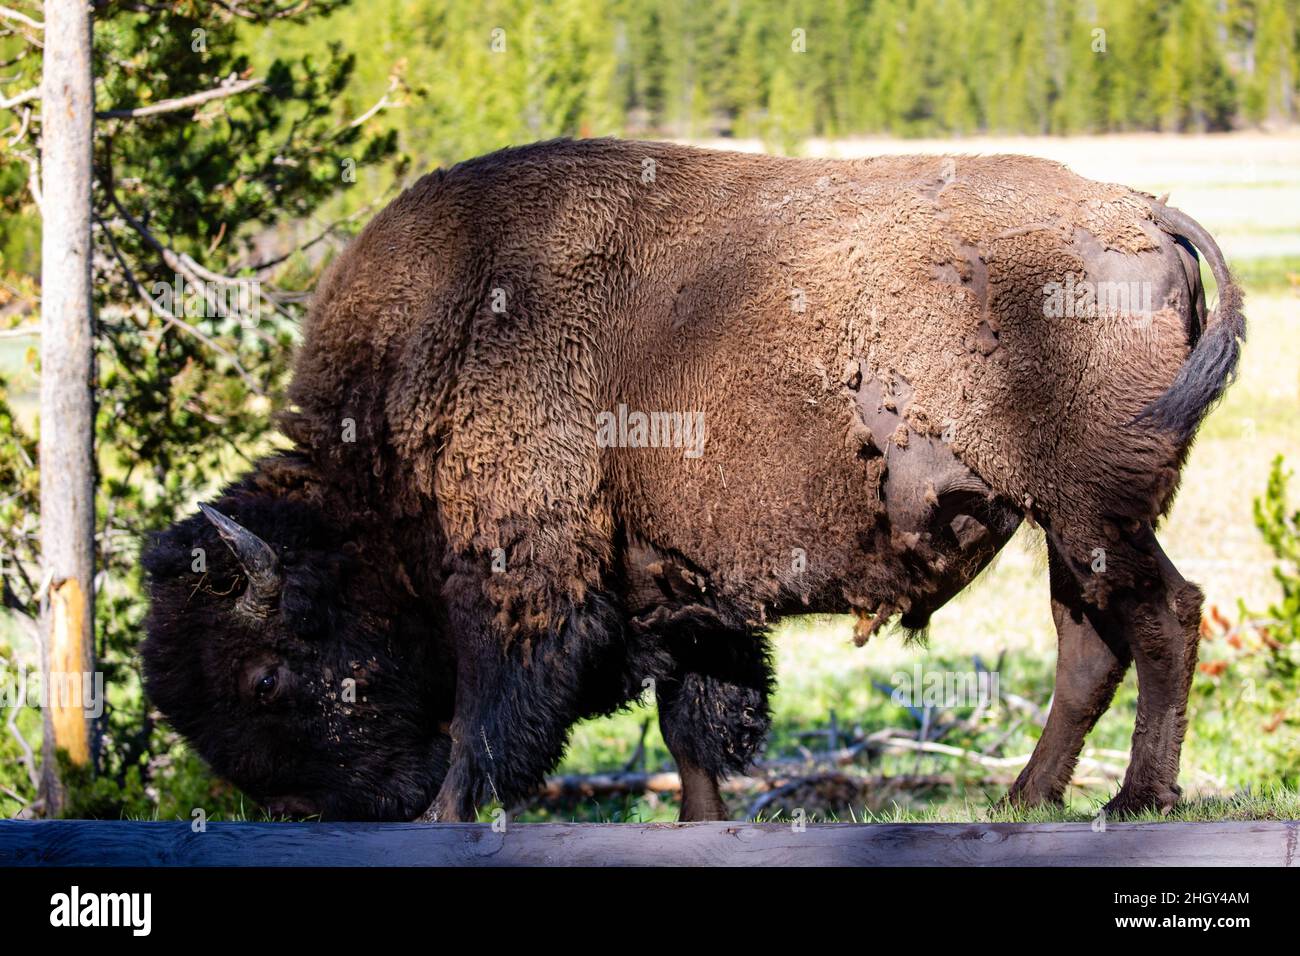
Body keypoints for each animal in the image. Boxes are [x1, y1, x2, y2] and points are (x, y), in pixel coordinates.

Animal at [139, 134, 1237, 822]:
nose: (303, 813)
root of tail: (1145, 213)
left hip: (1092, 509)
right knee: (1089, 644)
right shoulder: (679, 593)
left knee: (1164, 618)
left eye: (266, 673)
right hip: (1069, 522)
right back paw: (1027, 796)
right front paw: (704, 824)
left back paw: (1135, 798)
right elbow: (691, 727)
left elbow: (494, 719)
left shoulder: (523, 575)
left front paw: (445, 815)